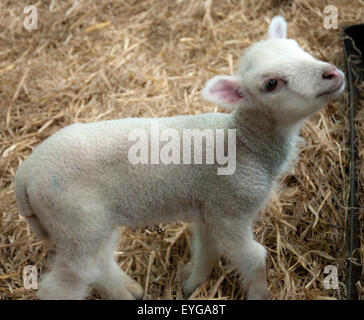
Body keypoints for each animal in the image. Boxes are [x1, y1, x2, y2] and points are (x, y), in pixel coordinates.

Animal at [14, 15, 344, 300]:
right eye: (271, 84)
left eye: (299, 48)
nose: (333, 73)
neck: (245, 143)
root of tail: (24, 175)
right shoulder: (231, 211)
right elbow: (254, 257)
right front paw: (259, 294)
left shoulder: (211, 210)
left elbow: (207, 249)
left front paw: (192, 284)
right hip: (76, 223)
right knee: (64, 284)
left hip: (89, 227)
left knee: (99, 264)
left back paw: (128, 291)